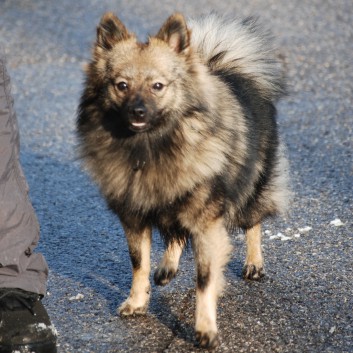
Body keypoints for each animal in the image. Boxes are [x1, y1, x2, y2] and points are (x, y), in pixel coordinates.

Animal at [76, 12, 288, 348]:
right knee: (175, 236)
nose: (137, 111)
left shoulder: (206, 223)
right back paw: (167, 267)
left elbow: (205, 278)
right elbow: (139, 263)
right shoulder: (134, 216)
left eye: (157, 86)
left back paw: (254, 263)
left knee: (252, 221)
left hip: (252, 186)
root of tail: (229, 67)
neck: (151, 148)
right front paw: (137, 301)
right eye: (122, 85)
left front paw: (205, 328)